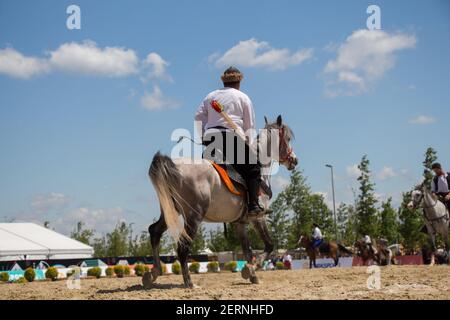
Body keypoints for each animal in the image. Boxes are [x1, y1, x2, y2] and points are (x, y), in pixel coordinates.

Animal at [145, 115, 298, 288]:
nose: (294, 160)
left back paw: (153, 273)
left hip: (170, 211)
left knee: (154, 232)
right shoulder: (259, 218)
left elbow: (248, 250)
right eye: (288, 138)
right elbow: (269, 245)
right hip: (193, 216)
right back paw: (189, 283)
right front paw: (252, 268)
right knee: (183, 247)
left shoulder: (240, 223)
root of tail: (174, 165)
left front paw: (252, 274)